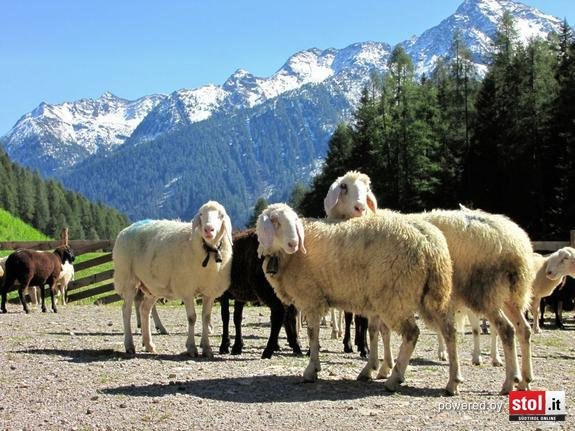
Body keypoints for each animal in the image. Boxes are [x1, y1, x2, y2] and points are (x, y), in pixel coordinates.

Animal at [113, 201, 234, 356]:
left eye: (221, 215)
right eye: (201, 214)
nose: (208, 229)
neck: (207, 249)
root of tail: (126, 229)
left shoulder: (210, 291)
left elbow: (206, 318)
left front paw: (207, 349)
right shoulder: (187, 289)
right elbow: (192, 318)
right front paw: (192, 348)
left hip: (153, 286)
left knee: (144, 309)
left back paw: (149, 344)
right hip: (127, 278)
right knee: (126, 311)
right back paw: (129, 345)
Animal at [256, 204, 464, 396]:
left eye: (294, 221)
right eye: (275, 221)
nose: (293, 243)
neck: (287, 257)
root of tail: (430, 242)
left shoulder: (311, 297)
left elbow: (313, 333)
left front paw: (311, 370)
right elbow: (373, 332)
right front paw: (371, 368)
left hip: (394, 295)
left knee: (412, 333)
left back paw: (395, 379)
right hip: (432, 294)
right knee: (449, 331)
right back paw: (453, 382)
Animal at [328, 170, 536, 394]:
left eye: (367, 189)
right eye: (344, 187)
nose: (360, 207)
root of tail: (517, 245)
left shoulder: (383, 294)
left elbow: (376, 331)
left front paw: (373, 368)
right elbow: (381, 331)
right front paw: (383, 367)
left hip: (484, 290)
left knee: (505, 330)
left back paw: (508, 381)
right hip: (510, 295)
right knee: (523, 329)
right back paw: (524, 379)